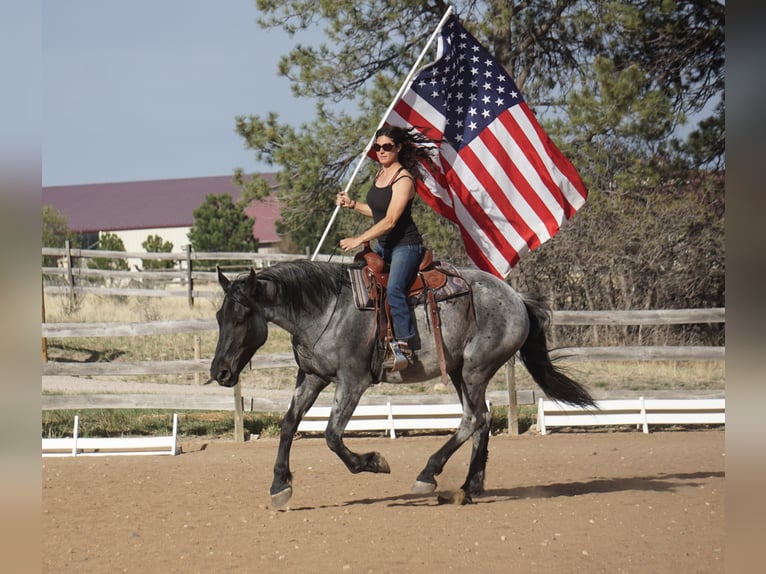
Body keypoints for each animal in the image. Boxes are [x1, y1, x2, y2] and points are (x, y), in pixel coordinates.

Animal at [213, 260, 596, 508]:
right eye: (219, 316)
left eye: (242, 316)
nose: (220, 372)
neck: (325, 309)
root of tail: (518, 299)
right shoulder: (312, 377)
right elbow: (289, 424)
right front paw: (280, 485)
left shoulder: (352, 382)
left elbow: (332, 435)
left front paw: (373, 462)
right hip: (460, 372)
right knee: (482, 420)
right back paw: (468, 487)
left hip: (475, 369)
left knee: (472, 419)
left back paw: (428, 475)